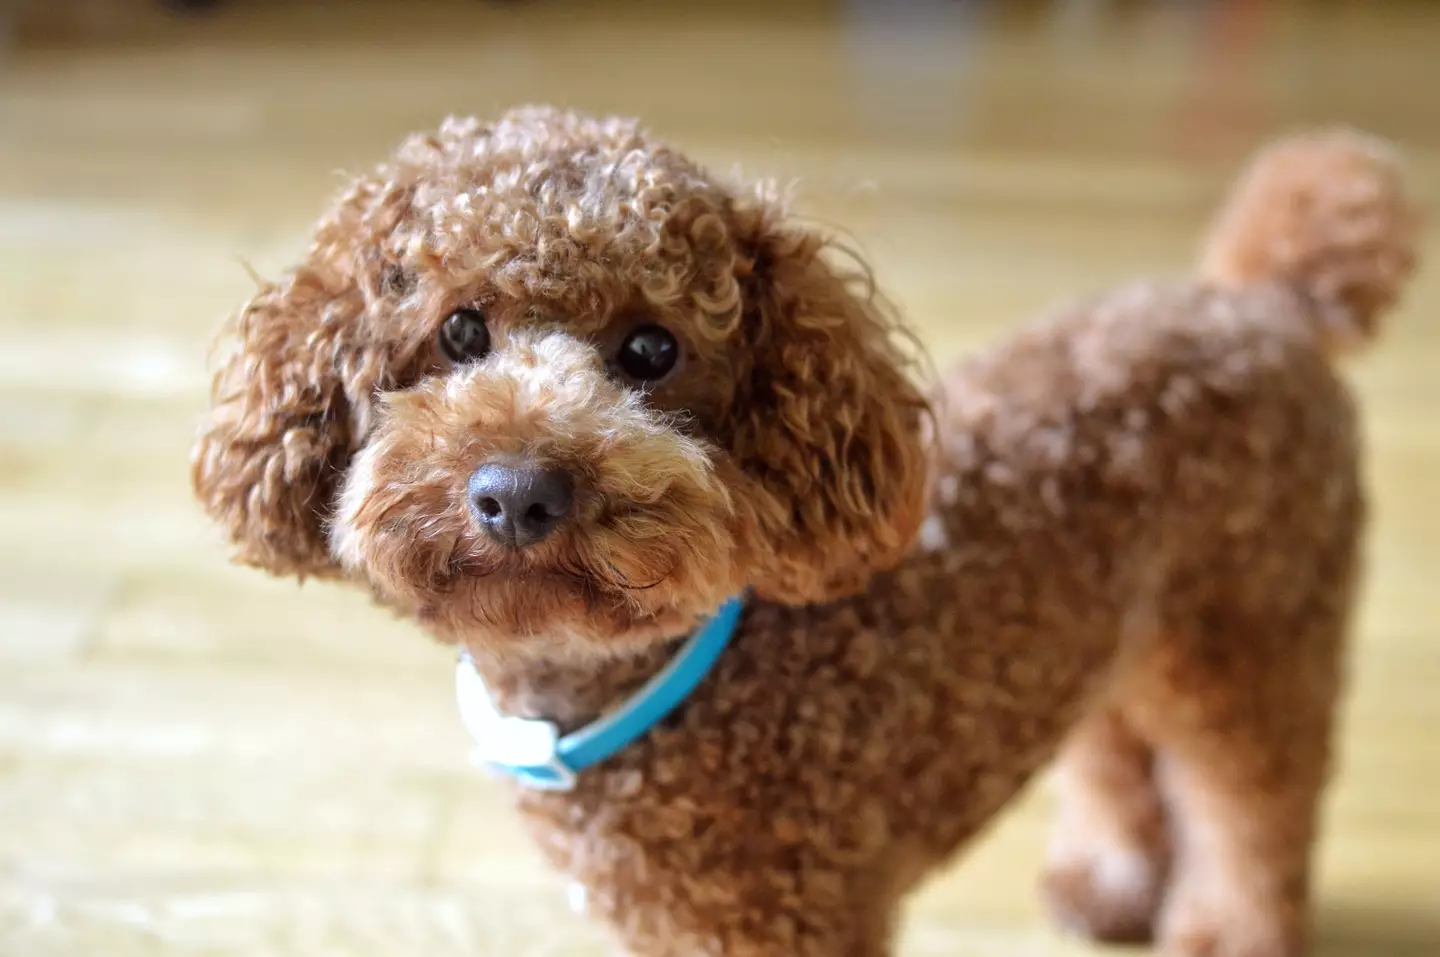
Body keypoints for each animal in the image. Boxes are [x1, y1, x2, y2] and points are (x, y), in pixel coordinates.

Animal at [188, 106, 1416, 955]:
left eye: (652, 349)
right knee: (1117, 742)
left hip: (1255, 632)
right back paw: (1109, 883)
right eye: (457, 331)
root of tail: (1262, 301)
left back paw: (1229, 930)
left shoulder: (791, 918)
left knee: (1253, 804)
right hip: (1122, 622)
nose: (519, 491)